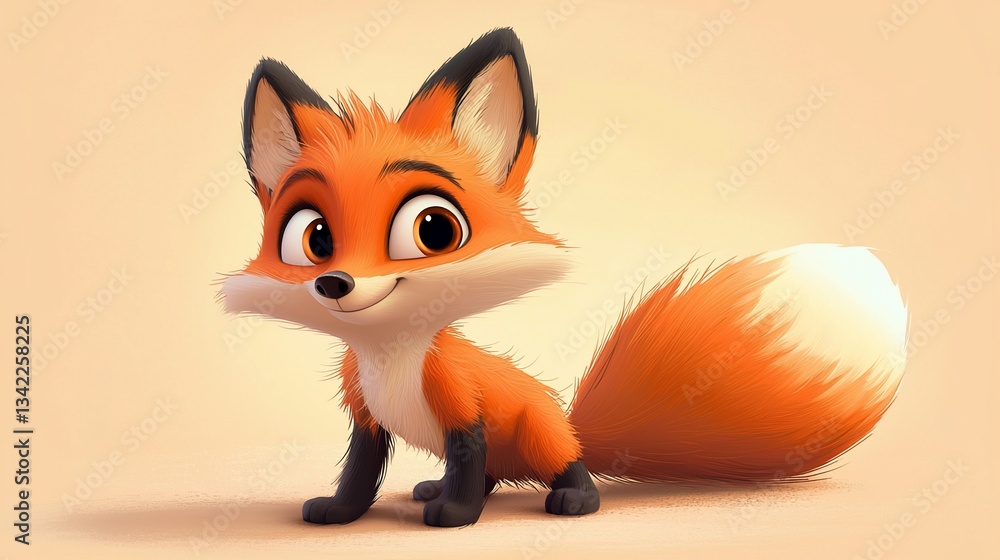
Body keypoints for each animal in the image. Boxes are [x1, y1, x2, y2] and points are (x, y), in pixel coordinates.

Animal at [219, 28, 908, 527]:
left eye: (433, 230)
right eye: (312, 238)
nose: (335, 283)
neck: (392, 359)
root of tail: (574, 426)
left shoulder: (460, 403)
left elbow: (467, 457)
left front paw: (456, 516)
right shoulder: (365, 414)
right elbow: (361, 474)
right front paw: (341, 512)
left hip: (541, 435)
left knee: (559, 470)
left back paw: (570, 498)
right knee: (490, 474)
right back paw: (433, 487)